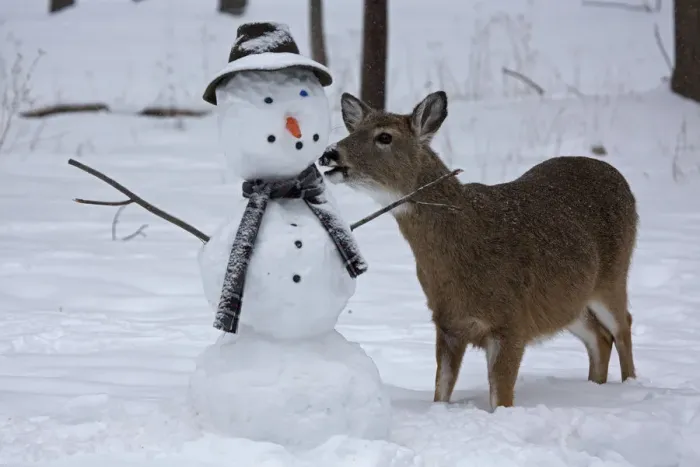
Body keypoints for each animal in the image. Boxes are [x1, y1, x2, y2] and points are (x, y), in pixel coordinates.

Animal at [318, 90, 638, 410]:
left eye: (384, 136)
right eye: (353, 130)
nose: (330, 153)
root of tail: (619, 178)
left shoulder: (511, 321)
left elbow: (501, 399)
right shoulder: (448, 322)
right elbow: (441, 391)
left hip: (613, 275)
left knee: (623, 325)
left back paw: (630, 387)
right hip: (570, 301)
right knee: (599, 337)